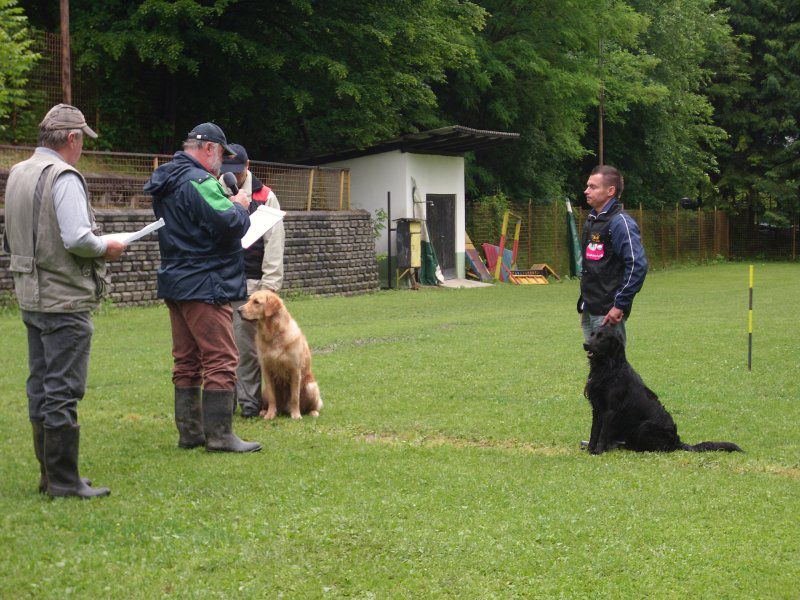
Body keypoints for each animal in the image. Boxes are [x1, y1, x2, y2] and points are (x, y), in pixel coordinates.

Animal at [580, 328, 744, 454]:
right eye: (592, 334)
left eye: (602, 337)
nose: (585, 344)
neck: (608, 368)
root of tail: (677, 441)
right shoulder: (597, 408)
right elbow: (594, 431)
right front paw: (589, 449)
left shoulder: (611, 410)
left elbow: (602, 433)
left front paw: (598, 451)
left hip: (645, 426)